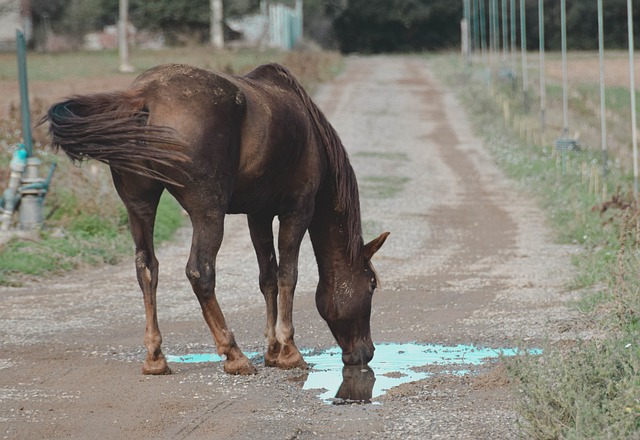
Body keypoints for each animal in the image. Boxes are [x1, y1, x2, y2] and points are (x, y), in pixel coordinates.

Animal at [45, 63, 388, 376]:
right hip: (208, 212)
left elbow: (267, 278)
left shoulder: (258, 215)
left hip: (139, 206)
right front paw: (289, 351)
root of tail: (144, 96)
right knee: (200, 272)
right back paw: (233, 354)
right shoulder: (297, 210)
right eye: (371, 284)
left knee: (147, 268)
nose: (366, 352)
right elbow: (287, 276)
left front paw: (272, 351)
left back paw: (155, 358)